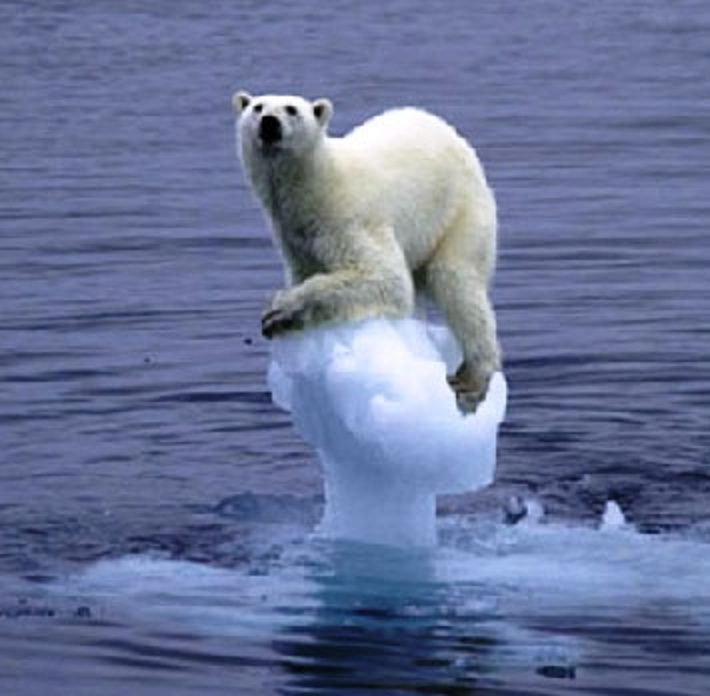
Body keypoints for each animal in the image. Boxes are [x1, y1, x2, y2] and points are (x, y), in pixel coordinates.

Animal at [232, 91, 501, 411]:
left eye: (291, 109)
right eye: (257, 107)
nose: (269, 123)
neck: (317, 185)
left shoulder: (348, 220)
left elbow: (384, 278)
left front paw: (279, 309)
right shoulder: (294, 238)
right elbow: (309, 271)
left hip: (460, 212)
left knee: (457, 282)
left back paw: (472, 379)